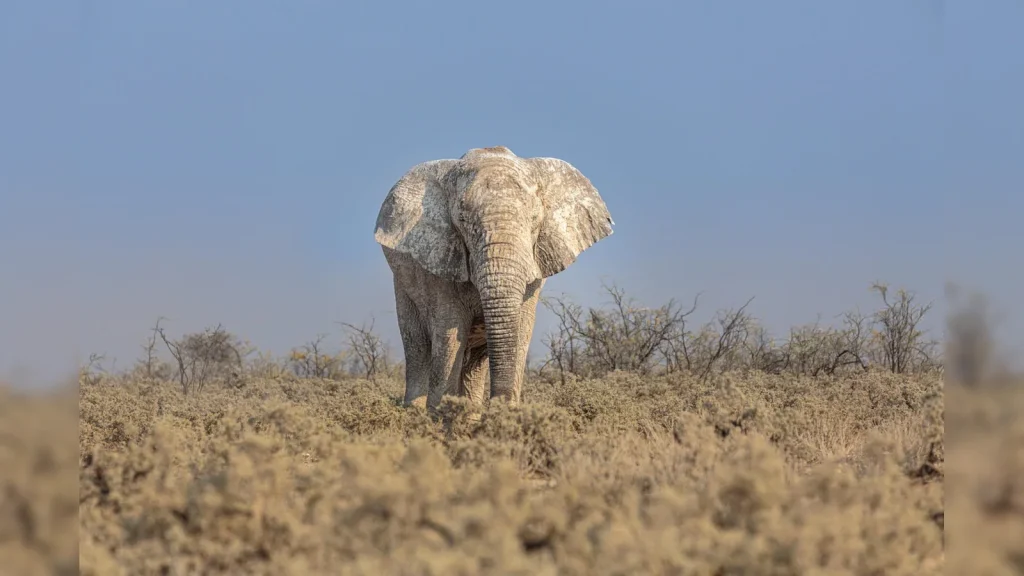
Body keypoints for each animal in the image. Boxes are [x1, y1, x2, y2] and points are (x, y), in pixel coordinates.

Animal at [373, 146, 615, 412]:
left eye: (534, 220)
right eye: (462, 220)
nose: (499, 406)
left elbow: (521, 330)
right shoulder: (438, 260)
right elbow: (449, 333)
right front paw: (438, 416)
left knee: (474, 361)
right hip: (403, 286)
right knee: (418, 347)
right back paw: (415, 412)